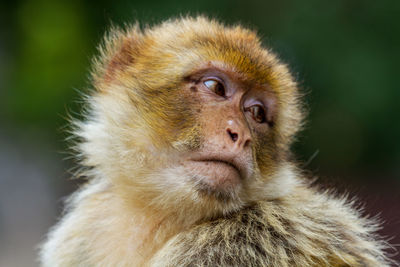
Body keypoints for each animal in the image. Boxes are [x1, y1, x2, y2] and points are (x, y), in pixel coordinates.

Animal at [38, 17, 394, 267]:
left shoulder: (238, 244)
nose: (242, 136)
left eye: (257, 113)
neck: (160, 216)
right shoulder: (82, 232)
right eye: (216, 87)